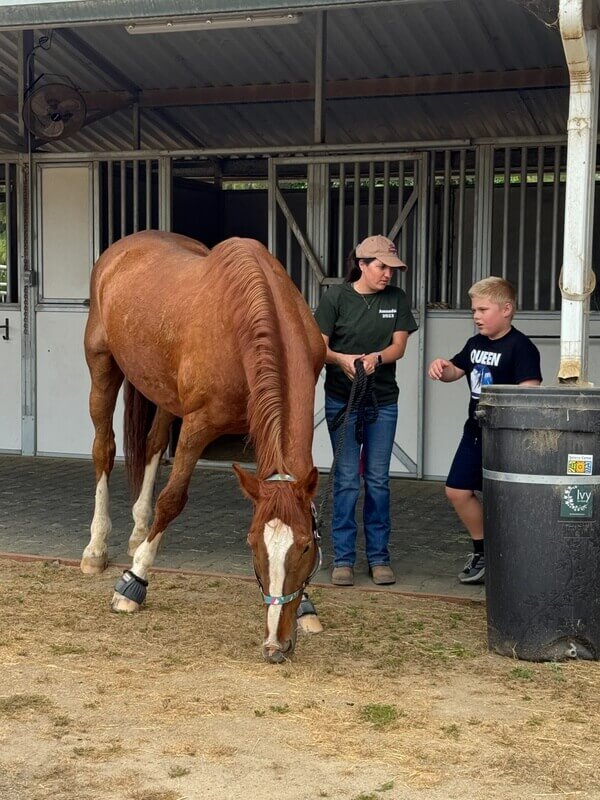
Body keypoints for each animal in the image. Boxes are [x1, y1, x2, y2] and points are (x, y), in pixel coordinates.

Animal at [81, 230, 326, 663]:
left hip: (163, 391)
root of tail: (122, 248)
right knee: (103, 449)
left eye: (304, 548)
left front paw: (307, 608)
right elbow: (172, 499)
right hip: (102, 365)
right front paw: (134, 583)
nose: (275, 645)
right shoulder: (197, 425)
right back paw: (96, 549)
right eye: (252, 545)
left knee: (153, 445)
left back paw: (139, 532)